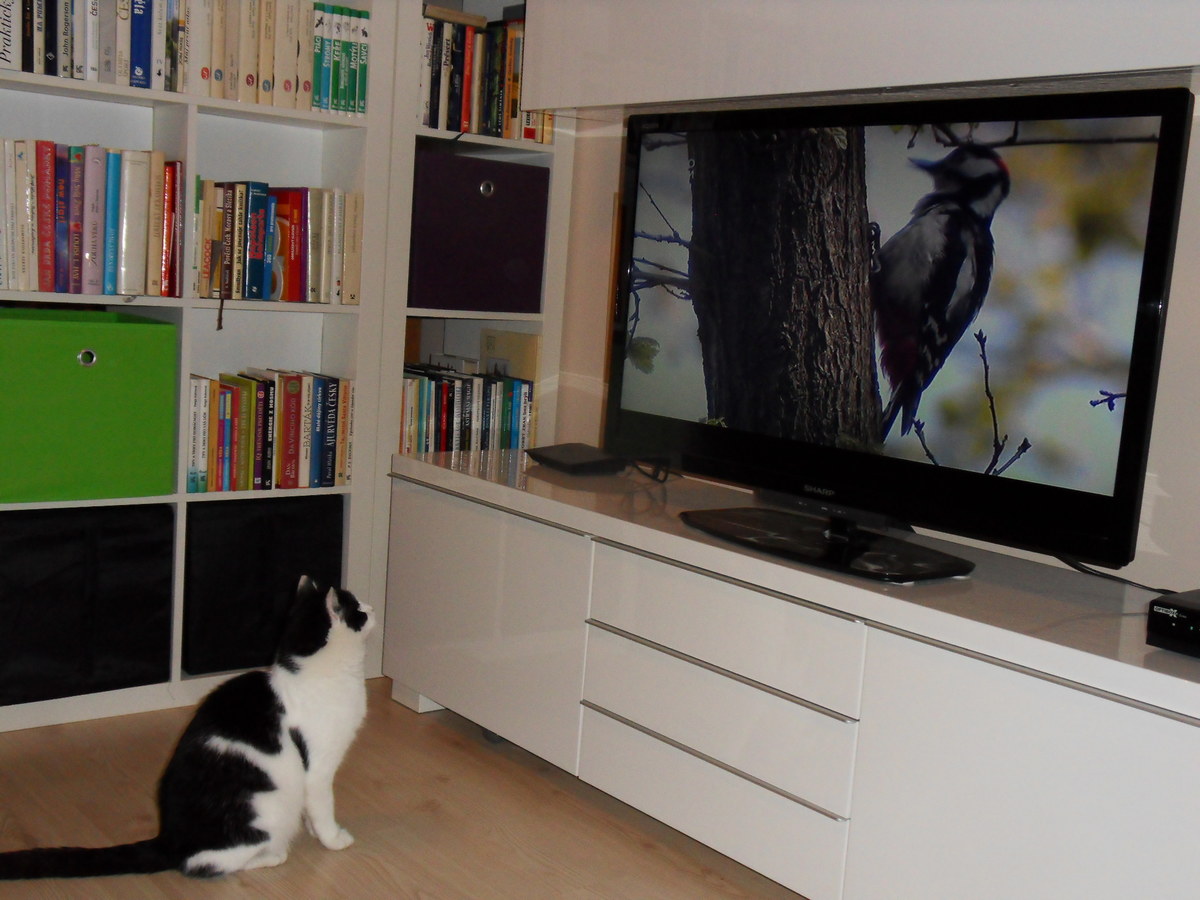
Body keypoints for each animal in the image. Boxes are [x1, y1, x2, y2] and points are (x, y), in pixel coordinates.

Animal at [0, 575, 374, 880]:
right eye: (358, 609)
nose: (372, 606)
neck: (317, 673)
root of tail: (168, 839)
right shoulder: (319, 768)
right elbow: (323, 807)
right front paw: (333, 839)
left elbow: (313, 812)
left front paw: (312, 830)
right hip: (267, 812)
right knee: (204, 863)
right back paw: (272, 856)